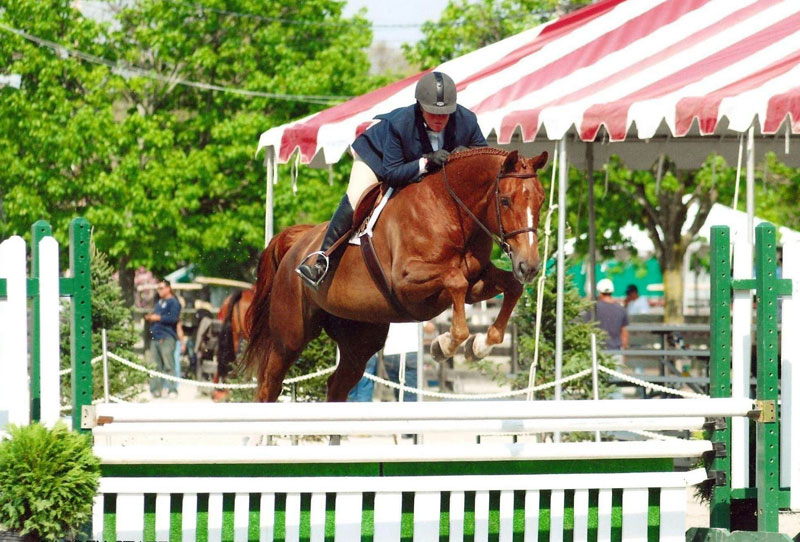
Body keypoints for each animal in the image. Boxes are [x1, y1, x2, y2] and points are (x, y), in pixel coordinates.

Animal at [241, 148, 548, 402]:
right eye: (505, 201)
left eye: (541, 200)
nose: (529, 266)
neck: (450, 210)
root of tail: (297, 241)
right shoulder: (406, 282)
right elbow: (455, 281)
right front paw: (445, 345)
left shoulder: (477, 280)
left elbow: (510, 287)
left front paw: (480, 345)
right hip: (290, 335)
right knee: (269, 385)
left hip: (360, 339)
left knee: (337, 386)